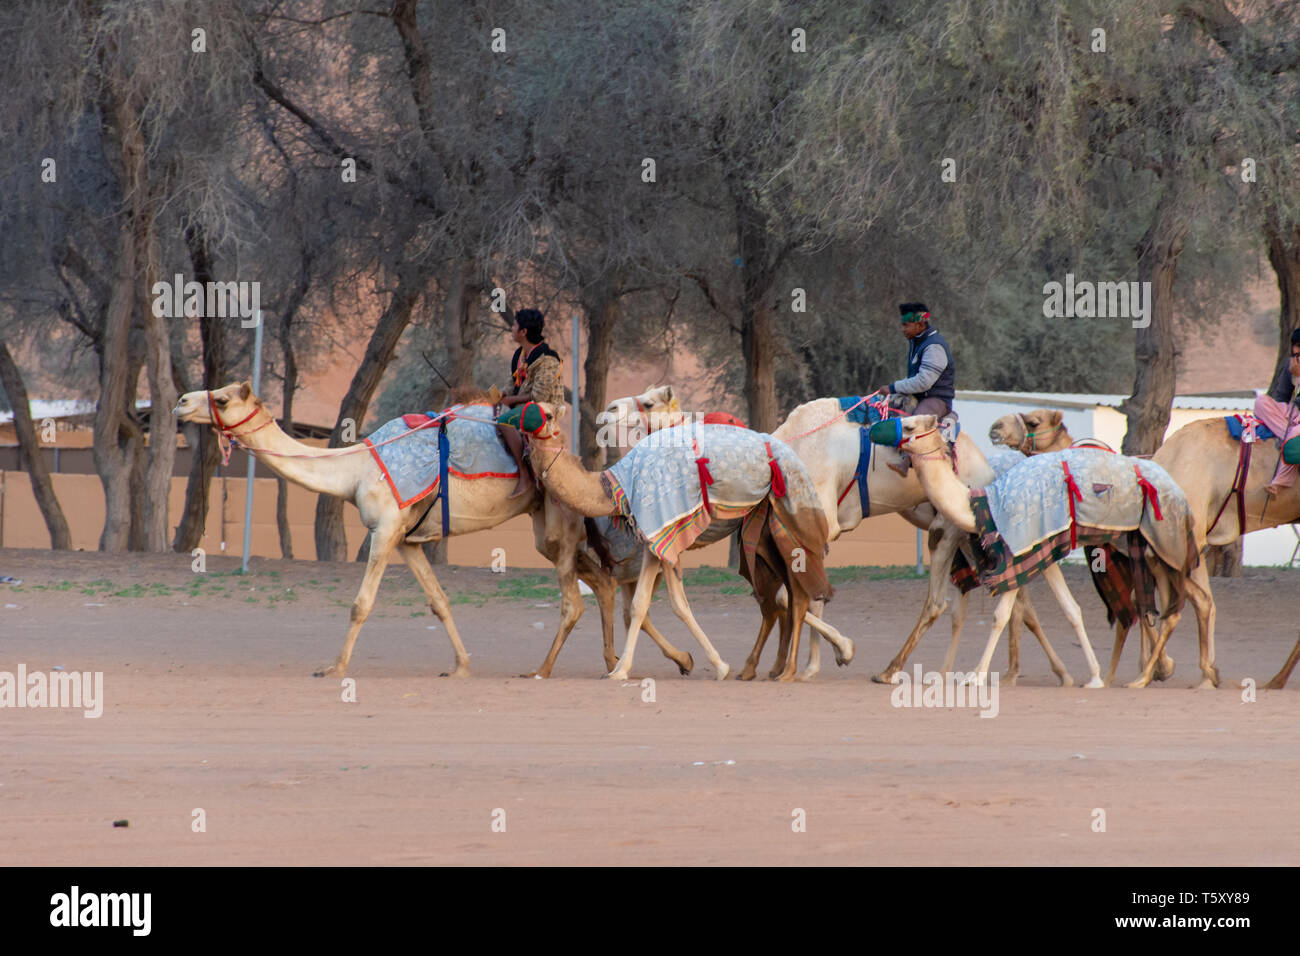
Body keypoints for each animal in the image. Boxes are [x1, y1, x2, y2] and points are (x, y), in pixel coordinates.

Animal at [174, 382, 686, 681]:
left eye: (223, 398)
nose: (180, 402)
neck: (356, 469)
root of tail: (583, 464)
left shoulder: (384, 529)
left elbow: (361, 604)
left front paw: (334, 667)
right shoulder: (407, 540)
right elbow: (439, 601)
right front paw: (460, 666)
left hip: (559, 522)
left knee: (576, 599)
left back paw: (546, 669)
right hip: (549, 529)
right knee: (602, 583)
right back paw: (646, 661)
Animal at [520, 400, 832, 686]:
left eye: (547, 413)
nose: (523, 421)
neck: (616, 487)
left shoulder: (662, 530)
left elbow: (654, 605)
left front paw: (624, 669)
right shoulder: (656, 541)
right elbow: (658, 604)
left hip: (791, 510)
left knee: (798, 593)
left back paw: (792, 671)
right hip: (764, 527)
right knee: (784, 596)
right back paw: (772, 668)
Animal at [603, 385, 1071, 686]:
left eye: (648, 401)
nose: (606, 410)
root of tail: (985, 462)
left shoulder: (820, 520)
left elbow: (791, 594)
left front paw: (838, 653)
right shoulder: (813, 531)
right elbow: (805, 594)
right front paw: (805, 665)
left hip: (950, 526)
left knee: (950, 598)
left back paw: (900, 671)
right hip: (943, 524)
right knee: (1002, 594)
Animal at [889, 413, 1201, 686]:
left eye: (909, 425)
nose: (886, 435)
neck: (986, 503)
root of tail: (1179, 492)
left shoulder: (1016, 554)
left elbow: (1000, 616)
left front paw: (975, 677)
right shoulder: (1043, 554)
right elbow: (1070, 609)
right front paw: (1093, 677)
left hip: (1165, 540)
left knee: (1177, 601)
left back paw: (1149, 677)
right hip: (1142, 547)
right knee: (1160, 604)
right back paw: (1150, 672)